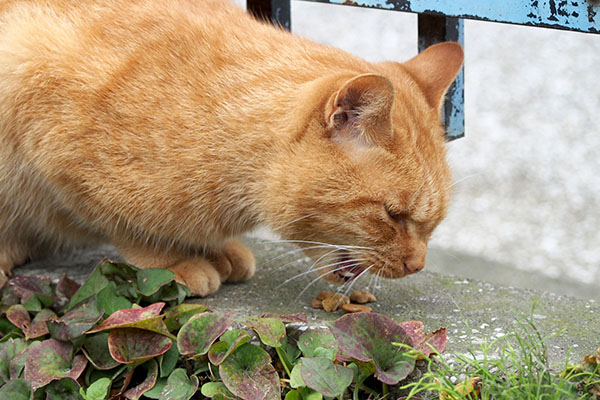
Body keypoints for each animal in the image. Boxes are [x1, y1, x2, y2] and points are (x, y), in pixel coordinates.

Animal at [0, 0, 464, 294]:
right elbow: (127, 228)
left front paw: (215, 250)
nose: (417, 265)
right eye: (393, 215)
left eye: (433, 223)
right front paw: (174, 259)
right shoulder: (47, 129)